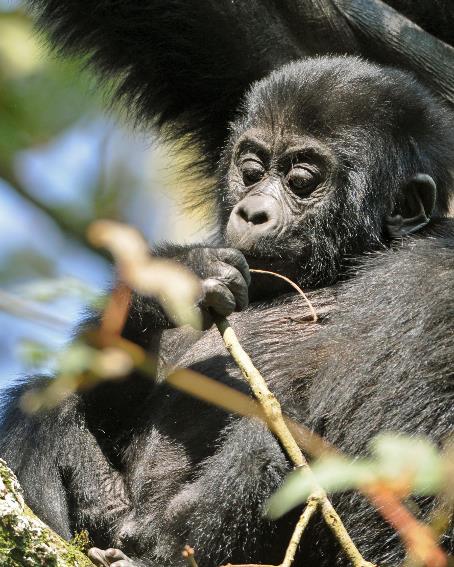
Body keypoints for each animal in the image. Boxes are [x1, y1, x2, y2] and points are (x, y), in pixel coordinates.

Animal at [0, 56, 454, 567]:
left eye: (302, 181)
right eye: (251, 170)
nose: (252, 211)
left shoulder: (432, 279)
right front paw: (180, 277)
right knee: (42, 403)